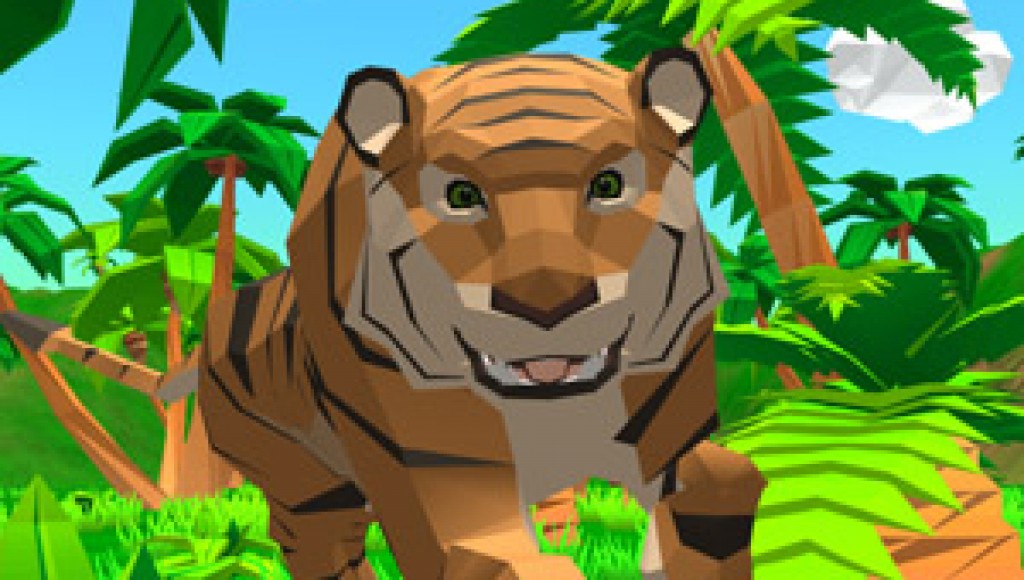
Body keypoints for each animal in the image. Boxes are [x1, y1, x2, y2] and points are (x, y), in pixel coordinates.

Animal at [0, 48, 766, 579]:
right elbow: (501, 557)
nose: (546, 304)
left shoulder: (666, 433)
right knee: (322, 546)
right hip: (301, 481)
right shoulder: (441, 467)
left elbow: (721, 491)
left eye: (608, 185)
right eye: (459, 196)